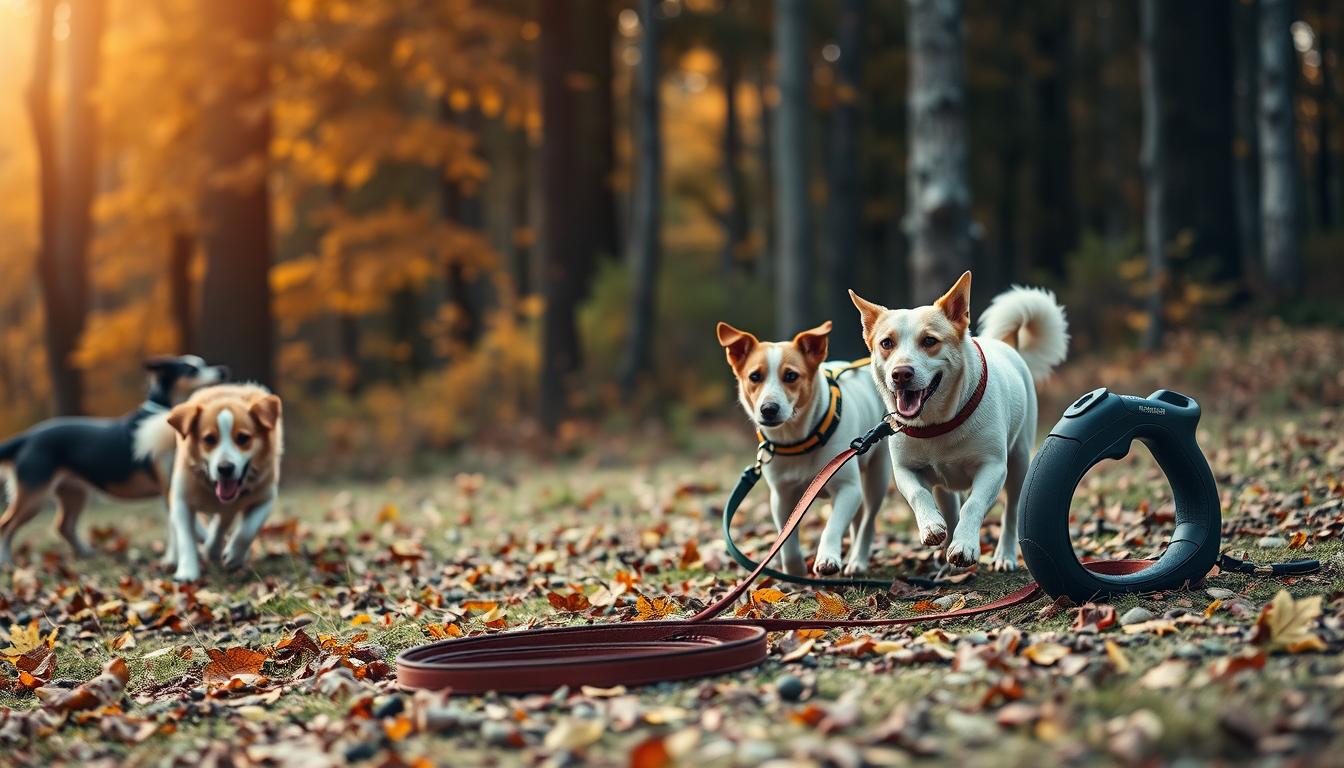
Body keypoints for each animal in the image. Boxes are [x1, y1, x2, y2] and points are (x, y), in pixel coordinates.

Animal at [0, 357, 229, 567]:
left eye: (203, 363)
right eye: (191, 370)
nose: (223, 370)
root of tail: (27, 437)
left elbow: (179, 524)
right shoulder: (168, 486)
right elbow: (189, 521)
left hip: (74, 492)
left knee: (64, 526)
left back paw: (86, 553)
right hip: (33, 496)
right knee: (6, 526)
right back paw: (7, 563)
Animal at [149, 384, 280, 583]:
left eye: (243, 438)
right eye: (209, 439)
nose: (225, 468)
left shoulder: (265, 498)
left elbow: (248, 530)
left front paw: (233, 556)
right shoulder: (181, 499)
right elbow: (185, 537)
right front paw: (187, 572)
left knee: (223, 522)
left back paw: (214, 548)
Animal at [715, 318, 892, 575]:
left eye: (791, 375)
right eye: (755, 376)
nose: (768, 409)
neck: (800, 441)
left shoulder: (847, 488)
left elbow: (832, 525)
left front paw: (827, 557)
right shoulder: (782, 496)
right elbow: (786, 538)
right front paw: (795, 570)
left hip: (878, 473)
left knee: (868, 520)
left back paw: (858, 560)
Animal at [854, 271, 1064, 570]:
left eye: (929, 341)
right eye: (886, 343)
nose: (901, 374)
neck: (937, 424)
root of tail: (1007, 345)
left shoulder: (992, 467)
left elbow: (974, 505)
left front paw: (965, 545)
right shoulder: (905, 470)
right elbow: (919, 494)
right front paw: (932, 527)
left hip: (1019, 461)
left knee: (1010, 511)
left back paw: (1004, 555)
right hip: (946, 484)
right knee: (951, 506)